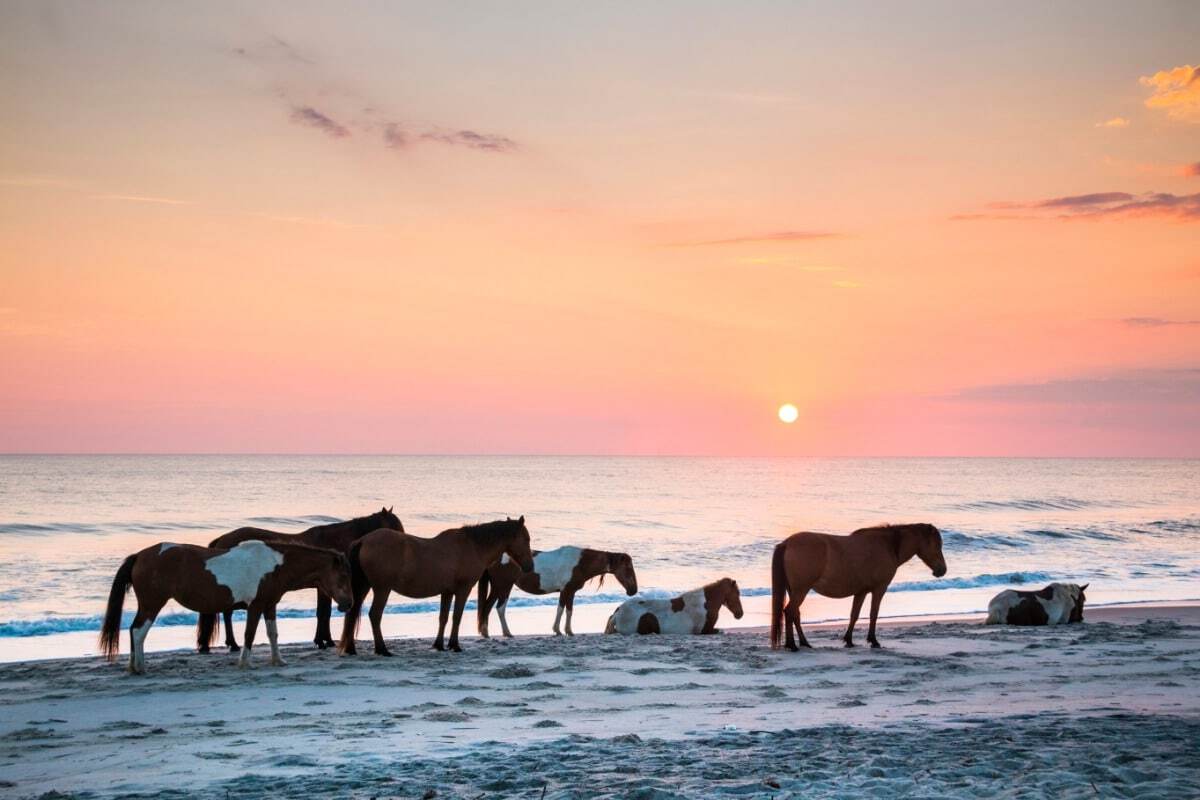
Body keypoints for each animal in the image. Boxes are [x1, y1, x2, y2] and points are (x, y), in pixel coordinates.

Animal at [100, 540, 353, 674]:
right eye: (342, 576)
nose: (348, 605)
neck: (275, 565)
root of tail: (140, 556)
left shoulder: (269, 605)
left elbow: (272, 634)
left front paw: (278, 661)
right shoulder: (256, 606)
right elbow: (249, 634)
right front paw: (245, 662)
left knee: (133, 630)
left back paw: (133, 666)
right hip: (152, 604)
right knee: (138, 631)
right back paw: (140, 667)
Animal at [199, 506, 402, 652]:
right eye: (395, 527)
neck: (334, 541)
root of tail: (222, 540)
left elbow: (324, 613)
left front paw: (325, 640)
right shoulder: (325, 588)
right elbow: (323, 613)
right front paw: (323, 641)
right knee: (227, 613)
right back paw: (233, 644)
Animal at [339, 516, 535, 655]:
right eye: (526, 539)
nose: (529, 567)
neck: (472, 546)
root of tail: (363, 540)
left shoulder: (447, 592)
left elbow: (444, 618)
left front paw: (439, 645)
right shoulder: (463, 590)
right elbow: (456, 617)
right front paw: (455, 645)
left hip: (364, 587)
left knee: (354, 613)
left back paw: (351, 649)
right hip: (382, 589)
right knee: (374, 615)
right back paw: (382, 649)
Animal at [477, 546, 638, 637]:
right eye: (628, 568)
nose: (633, 590)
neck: (580, 563)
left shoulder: (567, 591)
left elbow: (565, 610)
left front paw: (563, 631)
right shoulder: (567, 590)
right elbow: (564, 610)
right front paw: (563, 631)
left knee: (489, 607)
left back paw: (486, 632)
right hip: (503, 586)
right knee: (498, 608)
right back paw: (505, 633)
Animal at [770, 523, 947, 651]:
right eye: (936, 545)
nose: (942, 570)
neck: (887, 546)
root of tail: (787, 543)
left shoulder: (861, 592)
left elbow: (854, 615)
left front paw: (849, 640)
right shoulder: (879, 589)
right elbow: (873, 614)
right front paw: (873, 641)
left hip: (795, 591)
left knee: (795, 614)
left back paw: (804, 643)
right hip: (801, 590)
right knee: (790, 612)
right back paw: (792, 645)